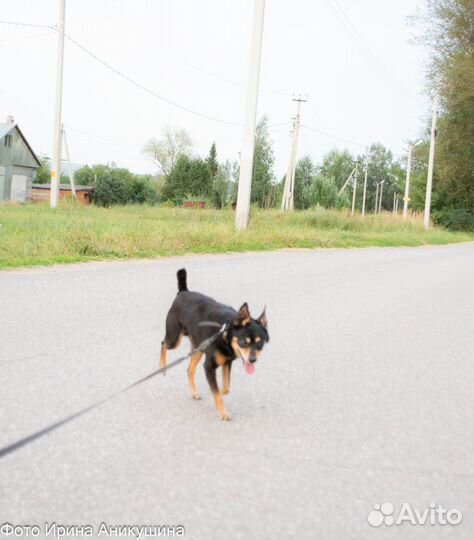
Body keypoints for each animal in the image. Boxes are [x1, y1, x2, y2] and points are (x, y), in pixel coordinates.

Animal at [160, 270, 268, 422]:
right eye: (243, 342)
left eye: (260, 344)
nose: (252, 360)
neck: (225, 334)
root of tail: (183, 291)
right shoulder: (209, 366)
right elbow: (217, 391)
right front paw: (222, 412)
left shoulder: (226, 362)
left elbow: (225, 388)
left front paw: (219, 394)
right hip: (174, 339)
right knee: (163, 344)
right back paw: (162, 368)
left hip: (198, 348)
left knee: (189, 370)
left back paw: (194, 392)